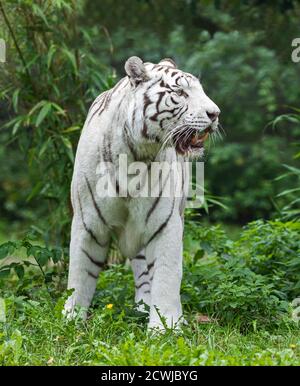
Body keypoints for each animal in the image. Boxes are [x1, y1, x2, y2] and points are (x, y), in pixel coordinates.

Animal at [63, 56, 220, 328]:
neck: (136, 153)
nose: (215, 114)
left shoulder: (165, 222)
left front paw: (166, 327)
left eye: (200, 90)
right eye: (180, 92)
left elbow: (166, 275)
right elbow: (80, 273)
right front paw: (71, 320)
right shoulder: (88, 222)